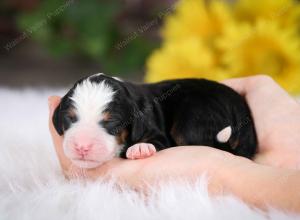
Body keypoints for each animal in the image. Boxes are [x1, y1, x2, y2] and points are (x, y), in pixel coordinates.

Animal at [52, 73, 256, 168]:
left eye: (112, 123)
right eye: (70, 118)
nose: (82, 147)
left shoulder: (154, 130)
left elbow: (157, 141)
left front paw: (140, 148)